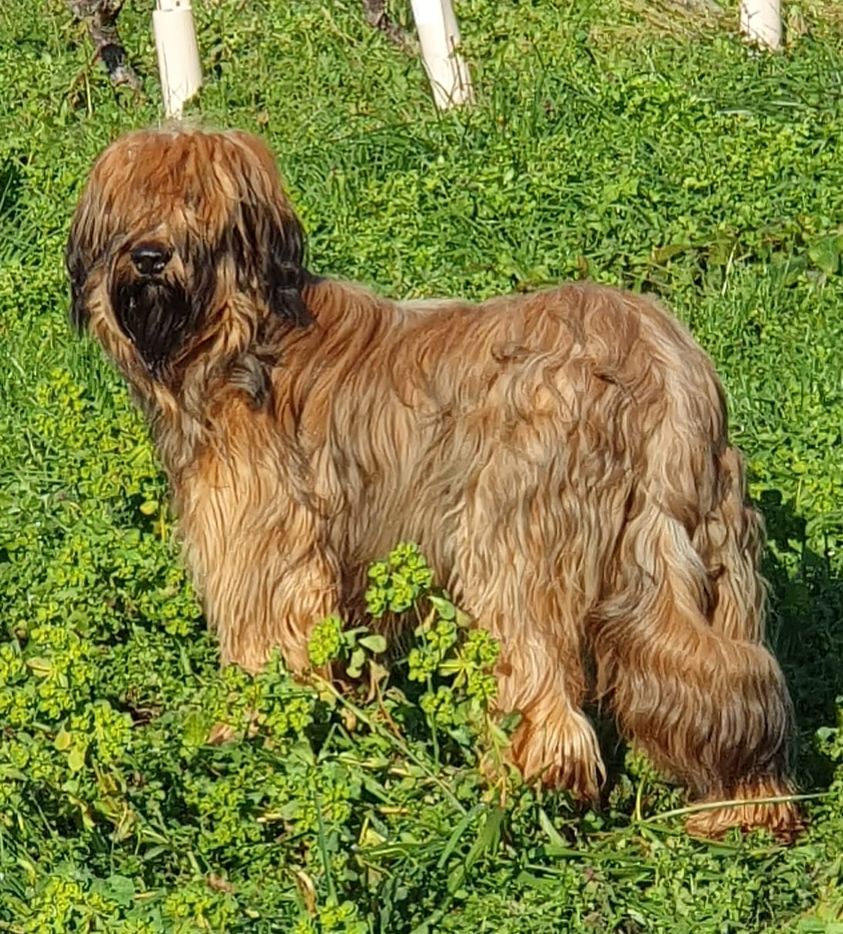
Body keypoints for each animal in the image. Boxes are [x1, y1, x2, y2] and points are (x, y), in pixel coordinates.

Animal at [69, 126, 800, 840]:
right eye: (135, 206)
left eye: (197, 202)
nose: (150, 257)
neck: (243, 336)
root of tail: (653, 359)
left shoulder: (266, 548)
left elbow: (267, 651)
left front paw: (246, 735)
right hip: (716, 549)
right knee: (726, 682)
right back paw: (746, 806)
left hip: (512, 543)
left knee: (539, 688)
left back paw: (517, 797)